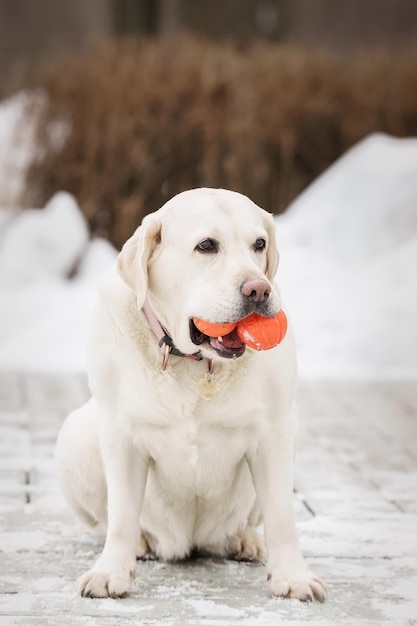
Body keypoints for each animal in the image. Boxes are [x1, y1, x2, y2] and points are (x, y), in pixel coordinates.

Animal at [54, 186, 324, 600]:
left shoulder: (275, 433)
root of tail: (190, 541)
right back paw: (143, 543)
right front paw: (110, 572)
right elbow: (121, 517)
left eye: (259, 244)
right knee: (107, 521)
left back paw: (243, 540)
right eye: (207, 245)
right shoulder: (119, 434)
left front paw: (292, 577)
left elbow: (281, 516)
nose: (259, 289)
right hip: (76, 435)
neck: (196, 364)